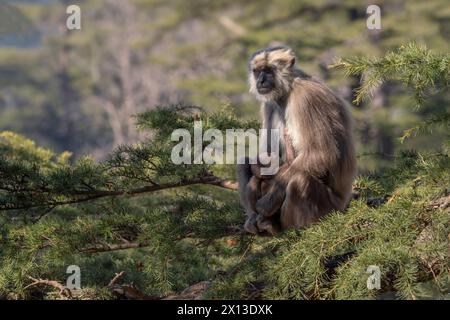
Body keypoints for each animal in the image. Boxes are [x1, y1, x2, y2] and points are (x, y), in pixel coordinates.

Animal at [237, 45, 356, 235]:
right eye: (257, 71)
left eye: (268, 71)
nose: (260, 81)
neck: (288, 90)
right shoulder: (269, 105)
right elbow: (264, 157)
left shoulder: (306, 99)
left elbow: (322, 154)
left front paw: (267, 203)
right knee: (244, 164)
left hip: (329, 209)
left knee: (301, 179)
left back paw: (298, 231)